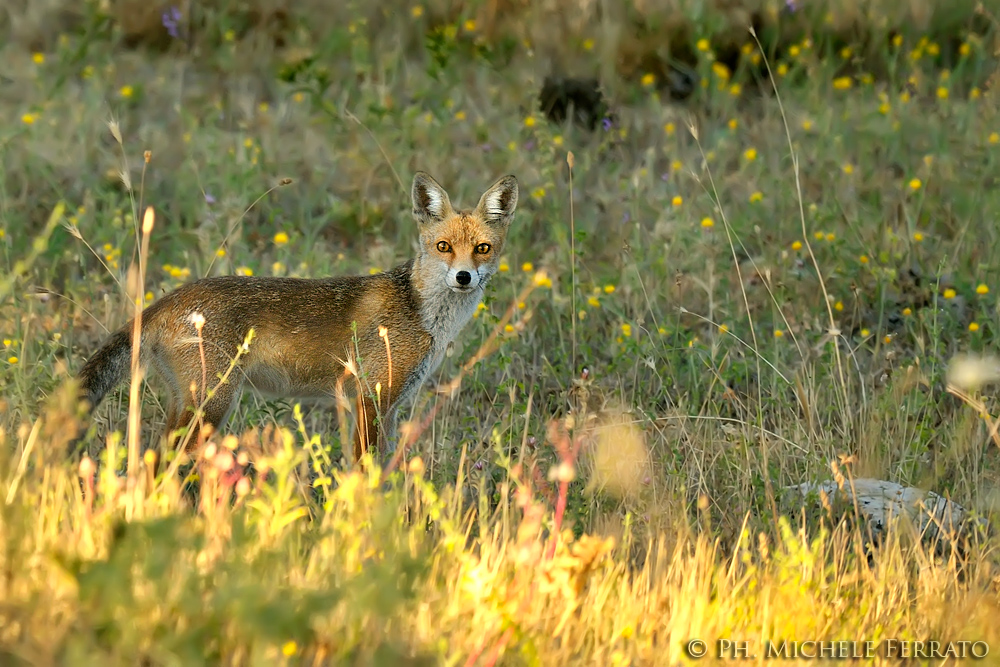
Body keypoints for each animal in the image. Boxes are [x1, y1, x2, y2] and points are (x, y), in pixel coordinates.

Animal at [74, 172, 520, 464]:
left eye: (482, 248)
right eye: (443, 246)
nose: (463, 277)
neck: (422, 313)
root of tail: (166, 300)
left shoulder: (388, 407)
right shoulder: (368, 400)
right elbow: (364, 474)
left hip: (188, 404)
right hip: (212, 406)